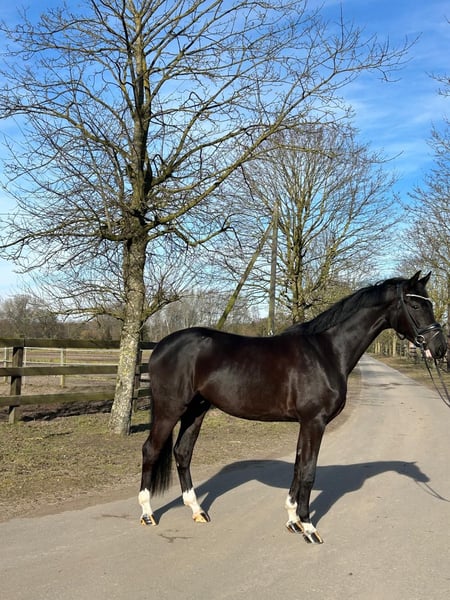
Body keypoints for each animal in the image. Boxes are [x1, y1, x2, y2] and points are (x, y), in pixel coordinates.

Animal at [138, 272, 447, 543]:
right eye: (416, 305)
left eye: (430, 303)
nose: (440, 348)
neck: (326, 352)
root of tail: (160, 346)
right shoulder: (314, 421)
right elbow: (309, 471)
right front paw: (309, 527)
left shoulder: (305, 423)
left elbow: (299, 467)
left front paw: (292, 520)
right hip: (170, 409)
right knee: (151, 450)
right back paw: (147, 514)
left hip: (197, 410)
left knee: (182, 452)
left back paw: (197, 510)